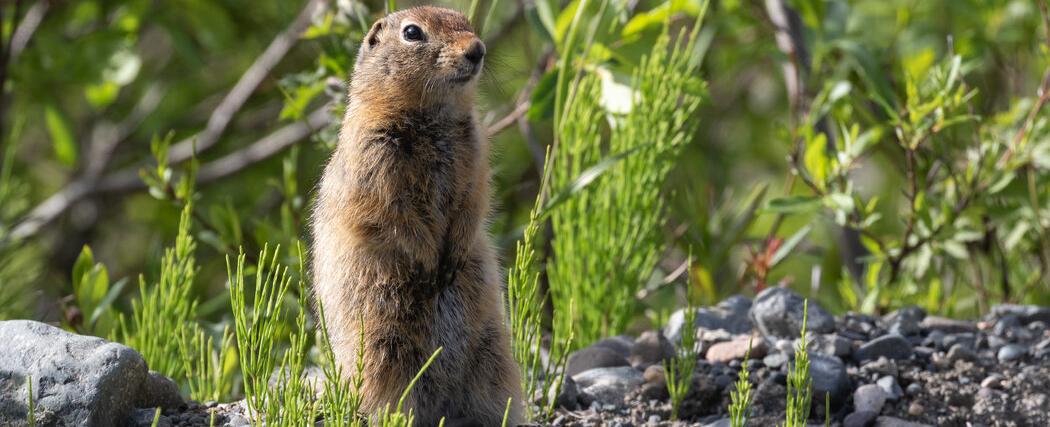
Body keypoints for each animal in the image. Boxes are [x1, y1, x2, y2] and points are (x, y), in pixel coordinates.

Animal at [311, 6, 523, 426]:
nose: (477, 49)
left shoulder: (476, 153)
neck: (431, 116)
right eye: (412, 33)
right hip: (382, 350)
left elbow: (474, 201)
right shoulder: (374, 158)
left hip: (494, 355)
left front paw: (453, 255)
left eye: (465, 20)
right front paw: (427, 263)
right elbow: (394, 216)